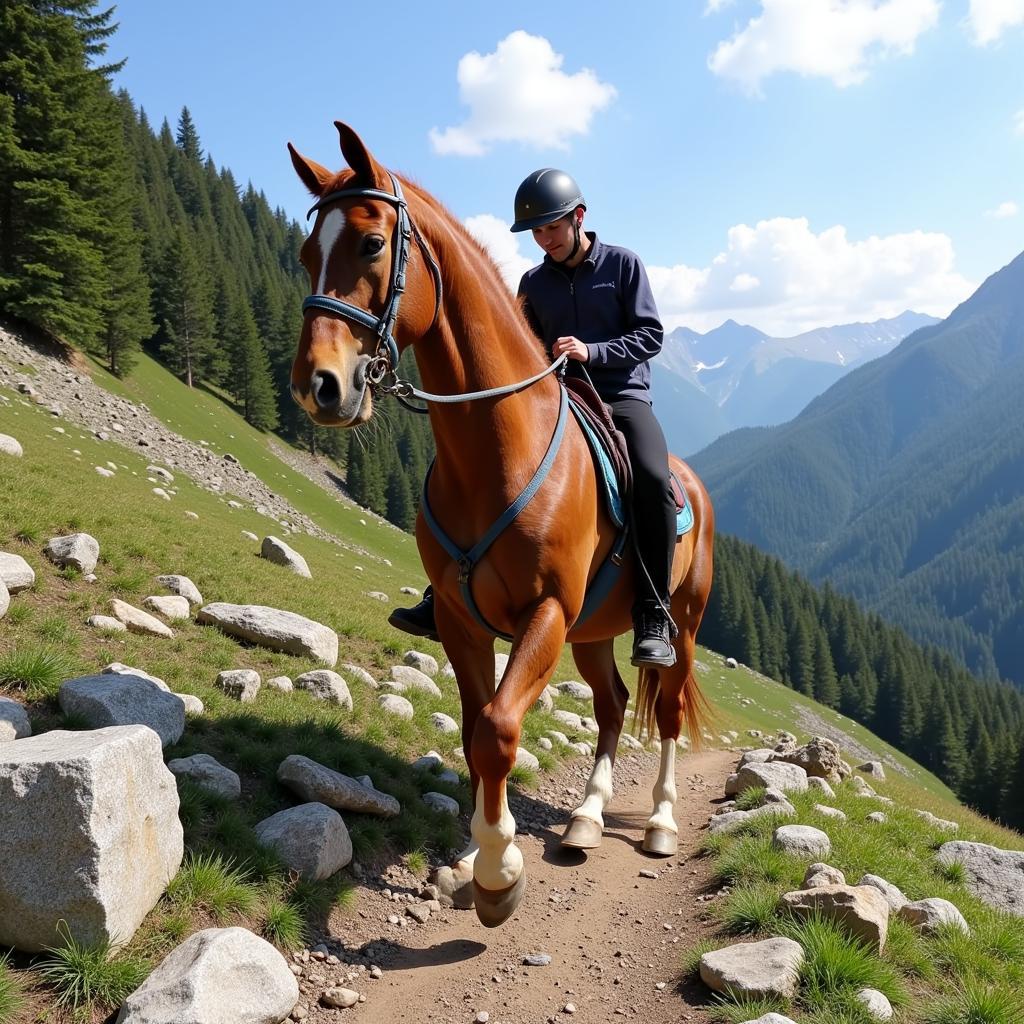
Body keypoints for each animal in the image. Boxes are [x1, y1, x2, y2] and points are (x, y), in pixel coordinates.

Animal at [288, 121, 712, 929]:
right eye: (304, 254)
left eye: (371, 244)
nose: (317, 387)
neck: (496, 453)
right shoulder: (462, 617)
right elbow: (471, 727)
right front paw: (472, 855)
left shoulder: (544, 614)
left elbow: (497, 732)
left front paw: (496, 875)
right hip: (592, 631)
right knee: (612, 706)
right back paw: (585, 817)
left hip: (679, 620)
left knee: (668, 714)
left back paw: (661, 823)